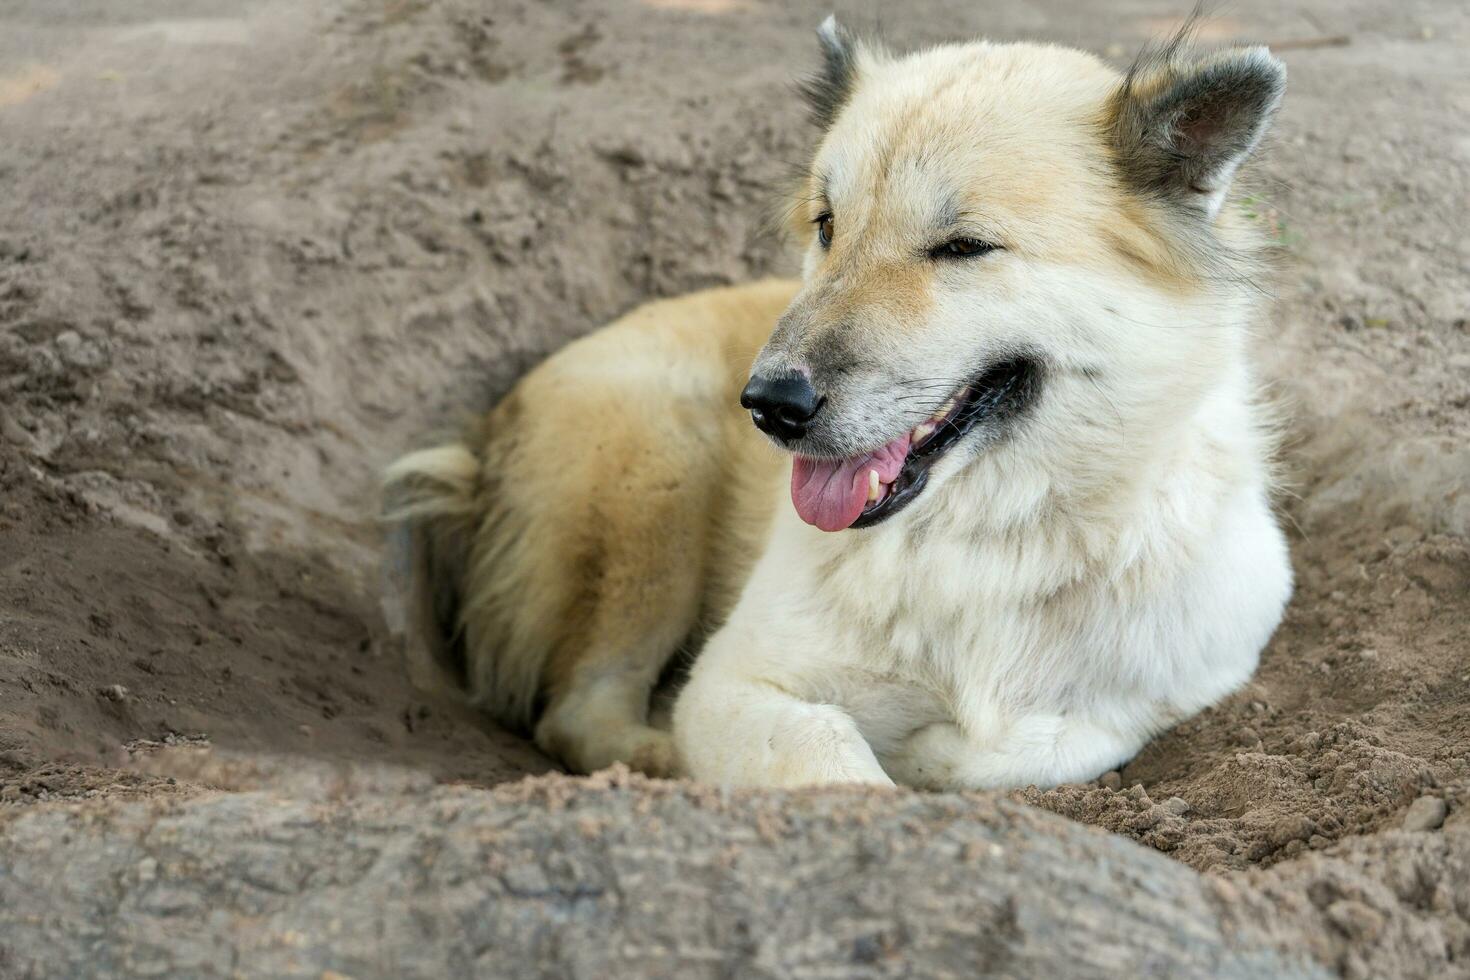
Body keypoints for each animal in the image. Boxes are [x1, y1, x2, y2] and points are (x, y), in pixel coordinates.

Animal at [385, 19, 1293, 787]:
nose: (769, 405)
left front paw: (936, 750)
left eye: (963, 247)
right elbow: (828, 754)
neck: (992, 540)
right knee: (582, 714)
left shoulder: (1185, 683)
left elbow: (1054, 740)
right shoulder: (734, 682)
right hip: (659, 486)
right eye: (827, 224)